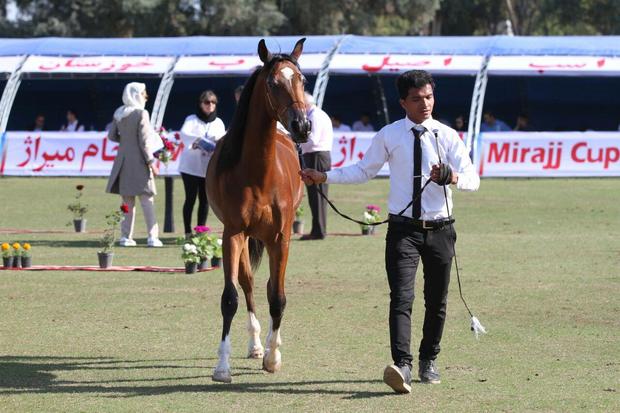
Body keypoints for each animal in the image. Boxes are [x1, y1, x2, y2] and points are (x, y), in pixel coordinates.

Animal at [206, 38, 310, 384]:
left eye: (302, 80)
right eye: (273, 83)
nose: (302, 125)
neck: (259, 175)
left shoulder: (281, 238)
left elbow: (277, 297)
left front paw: (273, 357)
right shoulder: (232, 234)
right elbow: (230, 297)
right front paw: (222, 366)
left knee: (267, 288)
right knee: (248, 285)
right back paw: (254, 344)